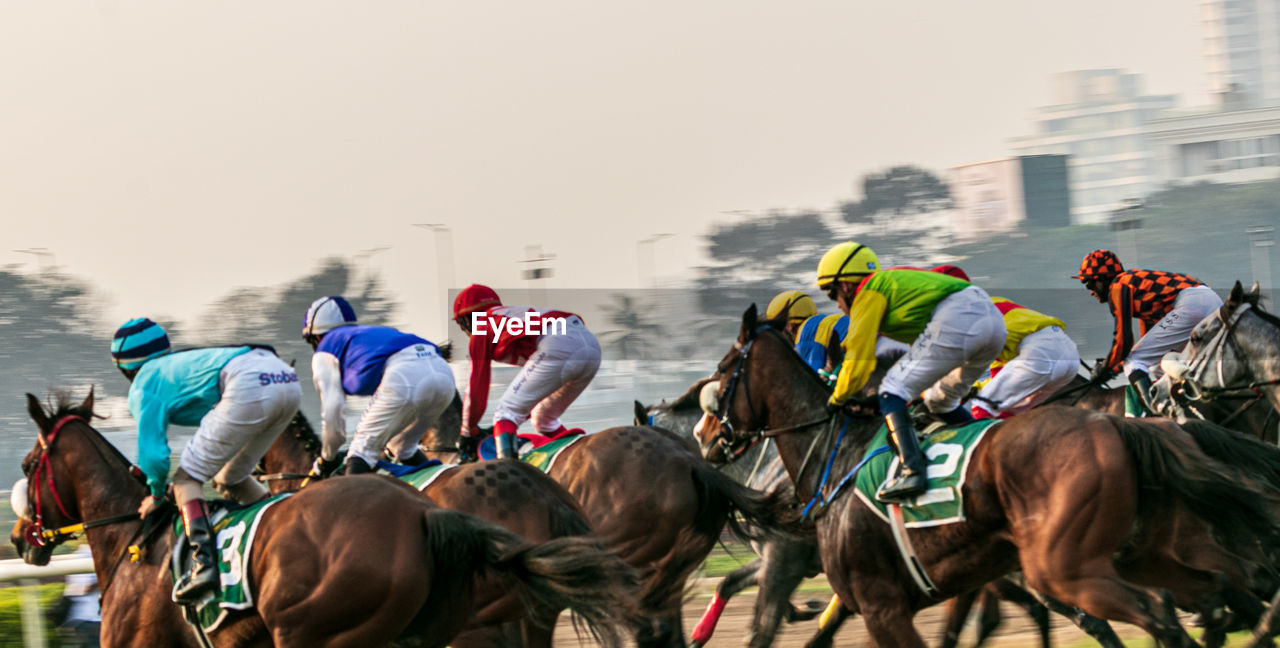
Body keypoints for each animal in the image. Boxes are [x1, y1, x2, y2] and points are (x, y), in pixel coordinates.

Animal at [696, 307, 1280, 648]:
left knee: (1186, 600)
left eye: (722, 374)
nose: (706, 435)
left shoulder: (883, 602)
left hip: (1068, 563)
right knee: (1215, 589)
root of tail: (1117, 423)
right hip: (1135, 550)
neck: (839, 461)